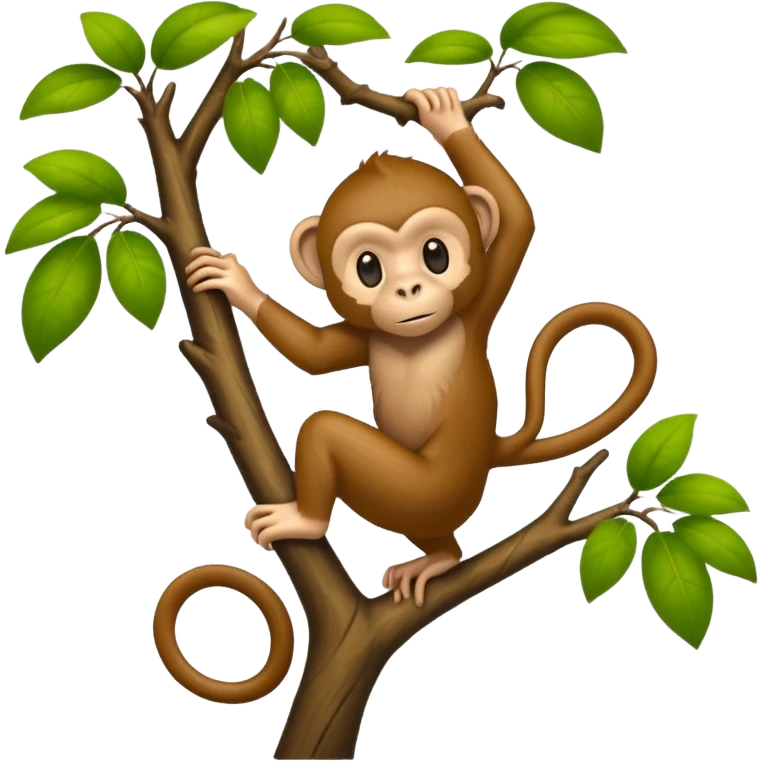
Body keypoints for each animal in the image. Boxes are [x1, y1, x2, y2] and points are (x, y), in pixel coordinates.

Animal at [185, 87, 658, 610]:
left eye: (435, 254)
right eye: (369, 268)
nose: (409, 289)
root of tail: (488, 452)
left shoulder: (474, 311)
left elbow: (517, 220)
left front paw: (446, 119)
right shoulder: (368, 336)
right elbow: (316, 352)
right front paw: (237, 285)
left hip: (422, 490)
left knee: (326, 430)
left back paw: (312, 523)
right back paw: (438, 557)